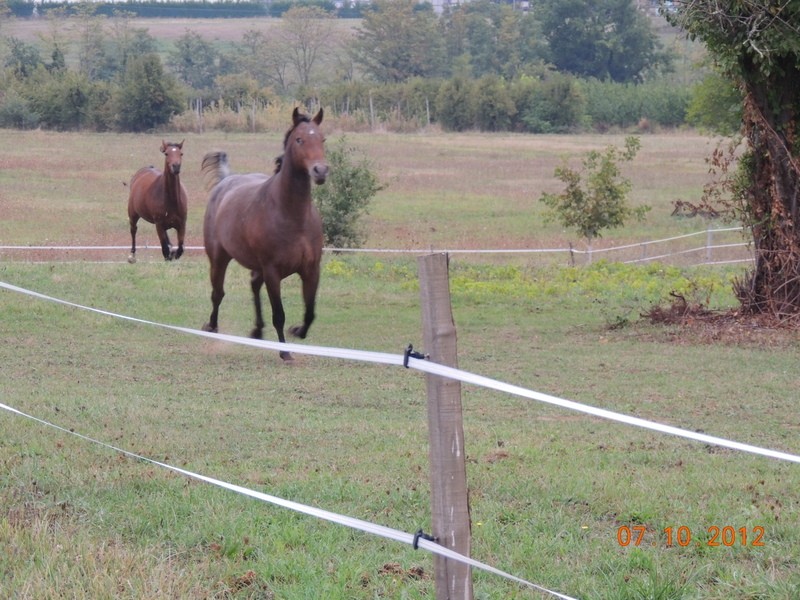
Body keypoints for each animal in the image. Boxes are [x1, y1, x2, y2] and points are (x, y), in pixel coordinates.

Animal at [200, 108, 328, 360]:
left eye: (322, 139)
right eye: (300, 140)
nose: (320, 171)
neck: (292, 215)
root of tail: (225, 181)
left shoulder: (311, 269)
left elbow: (310, 312)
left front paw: (297, 331)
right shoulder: (272, 272)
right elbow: (279, 314)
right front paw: (285, 353)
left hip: (256, 266)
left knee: (252, 285)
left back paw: (257, 330)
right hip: (219, 259)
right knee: (217, 293)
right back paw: (212, 327)